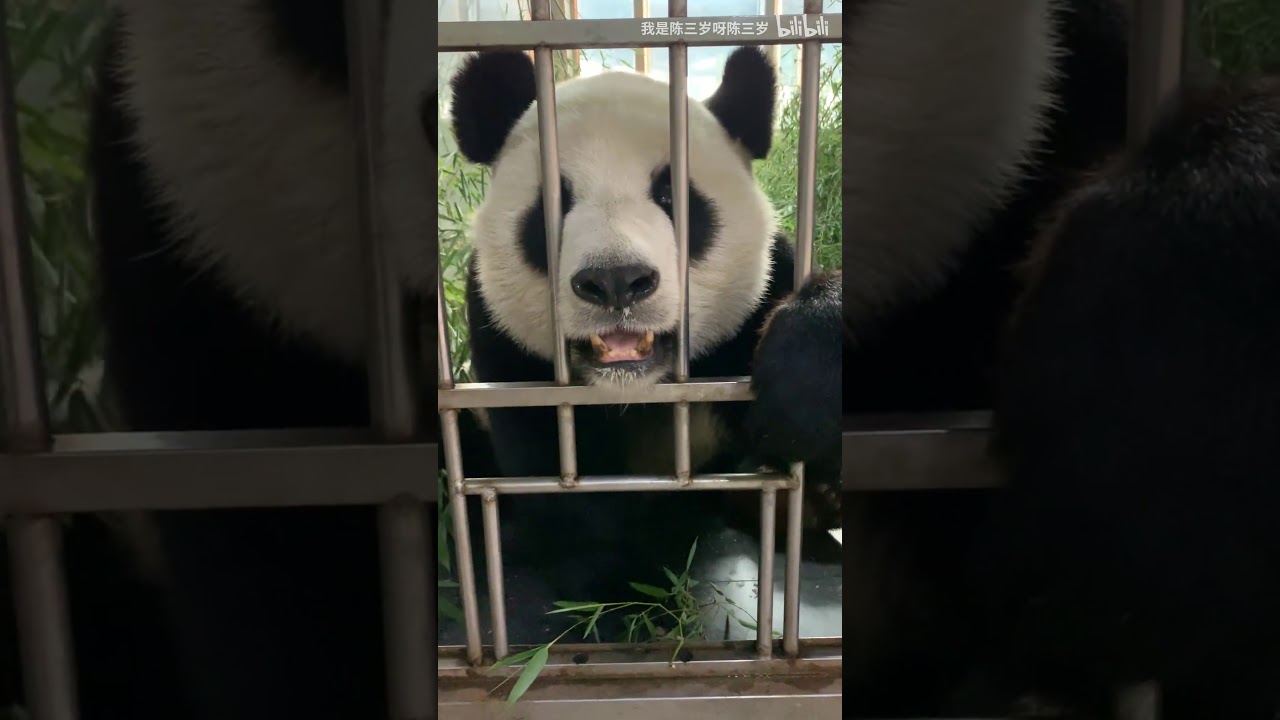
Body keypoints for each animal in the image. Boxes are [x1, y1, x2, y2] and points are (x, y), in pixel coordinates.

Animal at [443, 45, 843, 606]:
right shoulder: (508, 357)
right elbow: (566, 494)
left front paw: (807, 389)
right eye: (553, 205)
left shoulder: (754, 310)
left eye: (673, 197)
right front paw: (632, 573)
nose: (616, 281)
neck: (635, 389)